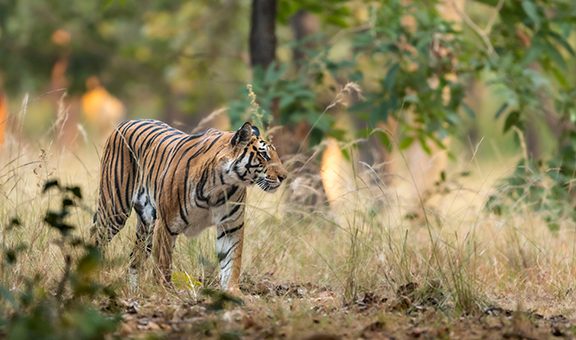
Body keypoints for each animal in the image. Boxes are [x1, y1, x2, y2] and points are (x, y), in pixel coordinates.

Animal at [92, 118, 288, 290]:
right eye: (264, 155)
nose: (284, 176)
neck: (221, 185)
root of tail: (127, 121)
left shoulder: (231, 227)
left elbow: (231, 263)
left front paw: (233, 293)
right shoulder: (167, 225)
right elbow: (163, 263)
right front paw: (165, 292)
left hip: (146, 224)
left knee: (135, 258)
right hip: (114, 211)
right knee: (96, 237)